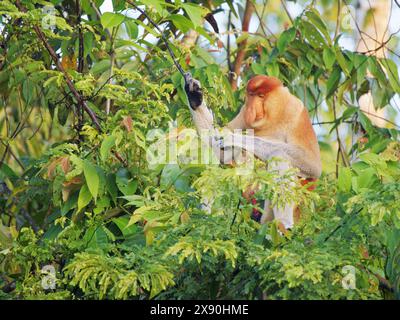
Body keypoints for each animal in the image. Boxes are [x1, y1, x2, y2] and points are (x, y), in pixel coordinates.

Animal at [184, 73, 322, 230]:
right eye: (251, 95)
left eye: (261, 96)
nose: (252, 109)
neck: (273, 116)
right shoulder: (243, 111)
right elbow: (220, 153)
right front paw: (194, 95)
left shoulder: (296, 110)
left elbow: (312, 164)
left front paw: (234, 137)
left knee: (279, 155)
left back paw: (283, 225)